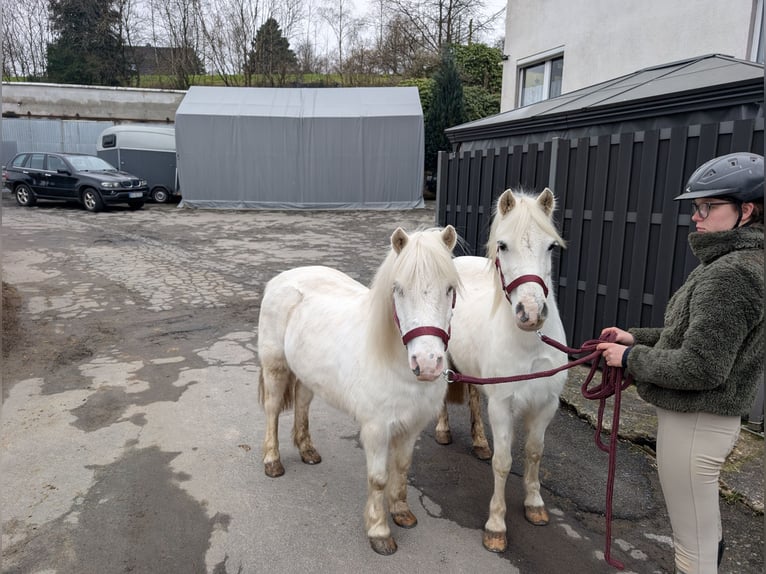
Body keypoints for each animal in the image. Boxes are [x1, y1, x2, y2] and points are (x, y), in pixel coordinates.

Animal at [257, 225, 459, 556]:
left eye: (450, 289)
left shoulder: (412, 426)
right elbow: (377, 479)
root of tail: (281, 279)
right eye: (398, 289)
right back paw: (272, 461)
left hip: (308, 374)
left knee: (302, 403)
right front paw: (379, 531)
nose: (428, 363)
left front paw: (401, 511)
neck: (394, 362)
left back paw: (307, 449)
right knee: (273, 411)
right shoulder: (376, 429)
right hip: (275, 367)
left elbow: (402, 467)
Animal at [435, 188, 568, 553]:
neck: (531, 343)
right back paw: (443, 430)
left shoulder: (546, 404)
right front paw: (496, 526)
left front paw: (535, 505)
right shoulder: (503, 406)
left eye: (551, 246)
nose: (531, 313)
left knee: (472, 397)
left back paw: (480, 441)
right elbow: (504, 462)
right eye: (503, 245)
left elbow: (534, 453)